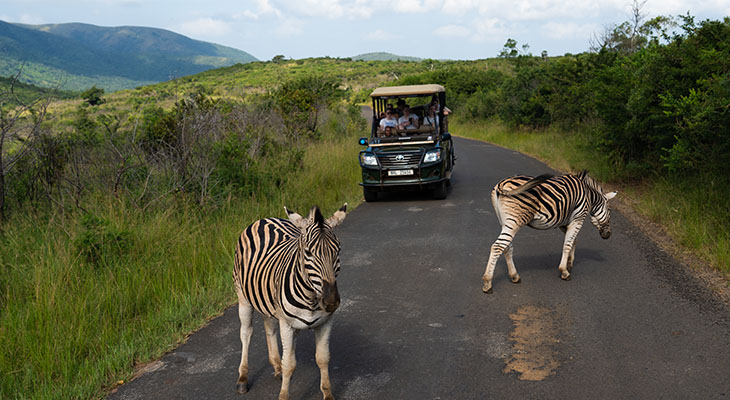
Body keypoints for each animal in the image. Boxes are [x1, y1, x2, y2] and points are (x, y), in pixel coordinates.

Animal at [233, 205, 346, 398]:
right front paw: (283, 395)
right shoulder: (287, 325)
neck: (311, 298)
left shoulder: (325, 322)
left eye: (338, 250)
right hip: (243, 298)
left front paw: (327, 394)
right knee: (246, 333)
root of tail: (264, 219)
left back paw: (276, 366)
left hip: (269, 303)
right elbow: (290, 364)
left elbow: (323, 358)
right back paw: (243, 378)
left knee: (270, 329)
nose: (331, 302)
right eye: (308, 252)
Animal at [484, 170, 616, 296]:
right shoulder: (578, 219)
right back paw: (487, 283)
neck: (589, 195)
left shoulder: (563, 222)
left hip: (505, 222)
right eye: (609, 210)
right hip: (514, 221)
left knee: (507, 247)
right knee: (497, 247)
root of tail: (502, 183)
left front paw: (569, 263)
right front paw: (564, 271)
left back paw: (514, 276)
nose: (608, 235)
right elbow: (568, 244)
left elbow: (574, 240)